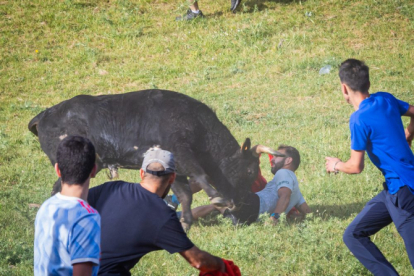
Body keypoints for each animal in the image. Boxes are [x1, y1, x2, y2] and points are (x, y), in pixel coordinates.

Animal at [27, 89, 276, 230]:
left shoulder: (175, 167)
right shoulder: (181, 152)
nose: (244, 204)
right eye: (250, 171)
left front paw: (186, 223)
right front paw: (219, 199)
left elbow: (185, 195)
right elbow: (200, 175)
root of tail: (44, 114)